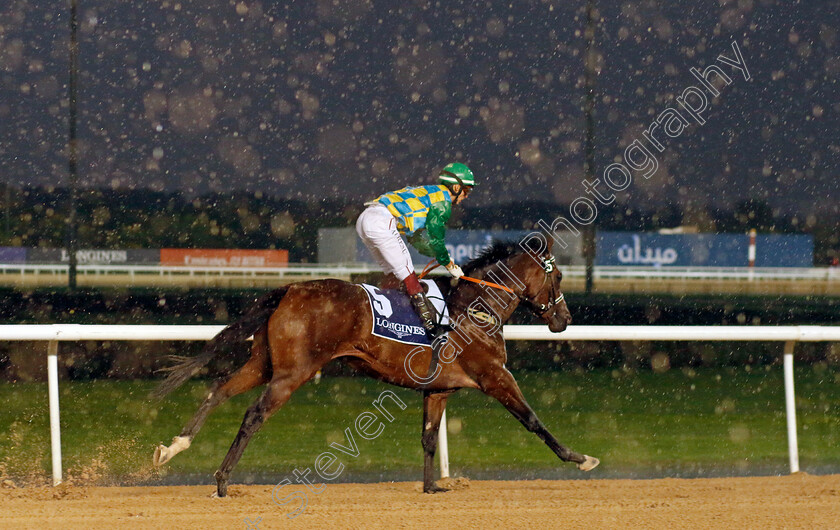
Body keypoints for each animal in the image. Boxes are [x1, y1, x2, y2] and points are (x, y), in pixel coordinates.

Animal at [151, 236, 596, 496]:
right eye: (558, 276)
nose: (565, 319)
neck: (474, 310)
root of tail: (291, 287)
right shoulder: (494, 376)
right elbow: (533, 419)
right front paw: (580, 458)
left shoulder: (439, 389)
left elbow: (429, 437)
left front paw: (431, 488)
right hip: (291, 374)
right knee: (253, 415)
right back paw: (222, 481)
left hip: (264, 364)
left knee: (218, 391)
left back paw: (174, 447)